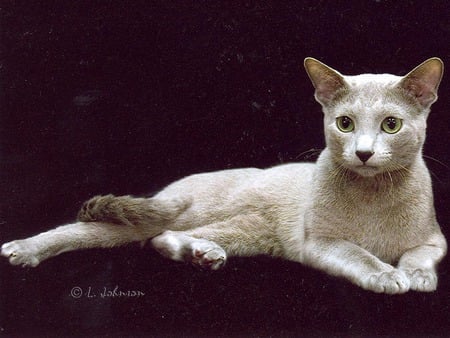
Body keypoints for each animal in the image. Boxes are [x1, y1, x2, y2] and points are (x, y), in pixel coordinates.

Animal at [2, 57, 446, 294]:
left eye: (391, 125)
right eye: (345, 123)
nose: (364, 153)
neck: (375, 196)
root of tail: (175, 187)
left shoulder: (435, 238)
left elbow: (421, 253)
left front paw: (416, 275)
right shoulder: (319, 243)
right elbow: (358, 254)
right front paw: (387, 274)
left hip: (248, 232)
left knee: (163, 239)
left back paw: (204, 254)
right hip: (186, 212)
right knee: (100, 232)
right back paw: (21, 250)